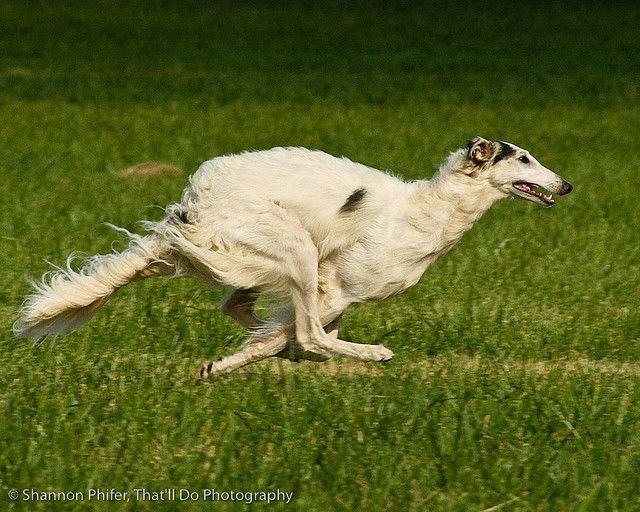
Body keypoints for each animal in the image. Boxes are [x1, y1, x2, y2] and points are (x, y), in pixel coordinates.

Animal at [13, 136, 576, 376]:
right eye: (524, 158)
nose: (567, 185)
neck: (429, 210)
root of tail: (195, 200)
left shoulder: (336, 296)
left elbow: (276, 337)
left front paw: (221, 365)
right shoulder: (336, 285)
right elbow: (305, 335)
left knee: (241, 308)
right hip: (293, 247)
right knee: (303, 333)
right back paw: (371, 354)